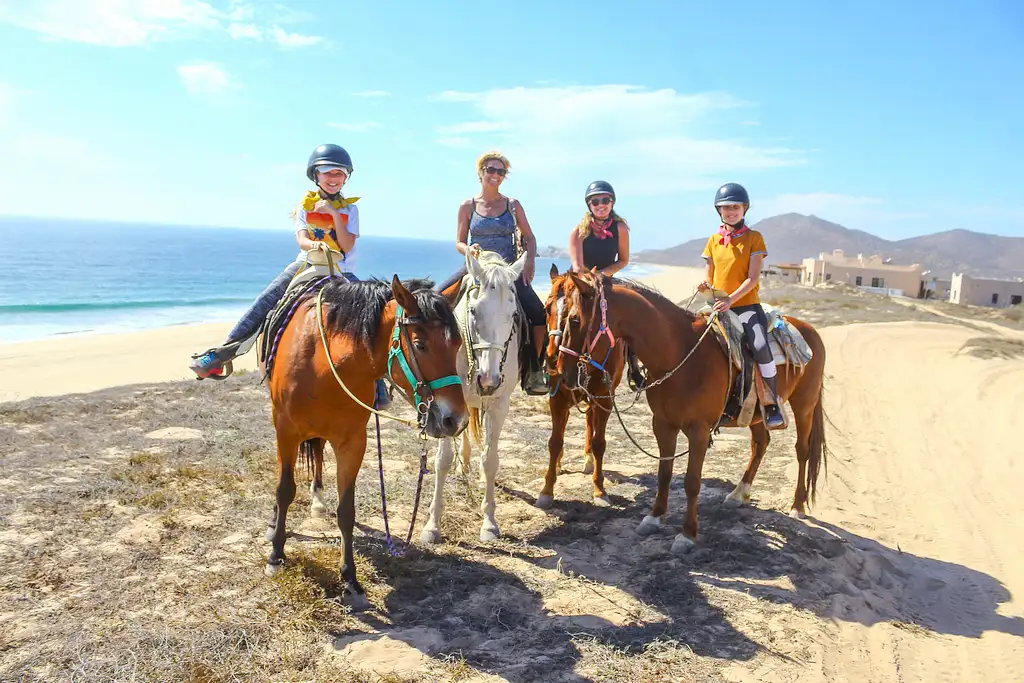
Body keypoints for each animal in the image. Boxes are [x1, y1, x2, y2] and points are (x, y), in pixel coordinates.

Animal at [266, 274, 468, 606]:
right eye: (420, 345)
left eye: (457, 344)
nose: (456, 420)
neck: (322, 364)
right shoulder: (286, 432)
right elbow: (284, 491)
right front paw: (276, 555)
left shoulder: (353, 442)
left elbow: (346, 511)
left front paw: (350, 579)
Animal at [419, 248, 528, 540]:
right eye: (473, 310)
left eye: (514, 314)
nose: (488, 380)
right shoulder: (445, 405)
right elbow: (443, 461)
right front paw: (432, 525)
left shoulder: (499, 404)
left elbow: (491, 460)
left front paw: (489, 522)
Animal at [540, 264, 626, 509]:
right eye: (546, 308)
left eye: (573, 316)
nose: (552, 357)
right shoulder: (557, 397)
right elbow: (555, 441)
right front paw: (547, 490)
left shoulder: (605, 397)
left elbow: (599, 442)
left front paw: (599, 490)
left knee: (590, 422)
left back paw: (588, 460)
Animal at [561, 270, 831, 552]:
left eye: (574, 319)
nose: (564, 373)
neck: (678, 353)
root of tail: (810, 330)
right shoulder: (663, 425)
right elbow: (664, 473)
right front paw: (654, 517)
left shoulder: (699, 430)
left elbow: (692, 481)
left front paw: (687, 534)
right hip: (757, 412)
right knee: (761, 444)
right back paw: (739, 493)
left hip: (804, 405)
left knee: (802, 451)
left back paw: (797, 505)